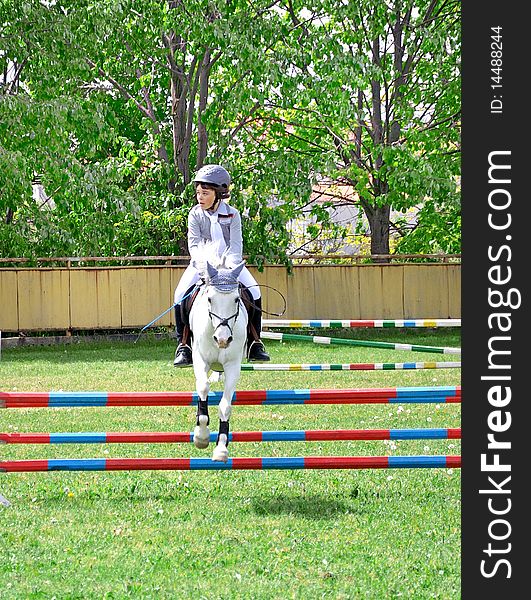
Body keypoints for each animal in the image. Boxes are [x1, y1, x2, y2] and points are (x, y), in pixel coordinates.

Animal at [189, 246, 249, 462]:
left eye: (237, 299)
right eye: (209, 299)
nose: (222, 340)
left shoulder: (233, 366)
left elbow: (225, 405)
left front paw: (221, 448)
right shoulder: (200, 359)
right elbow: (203, 387)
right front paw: (201, 436)